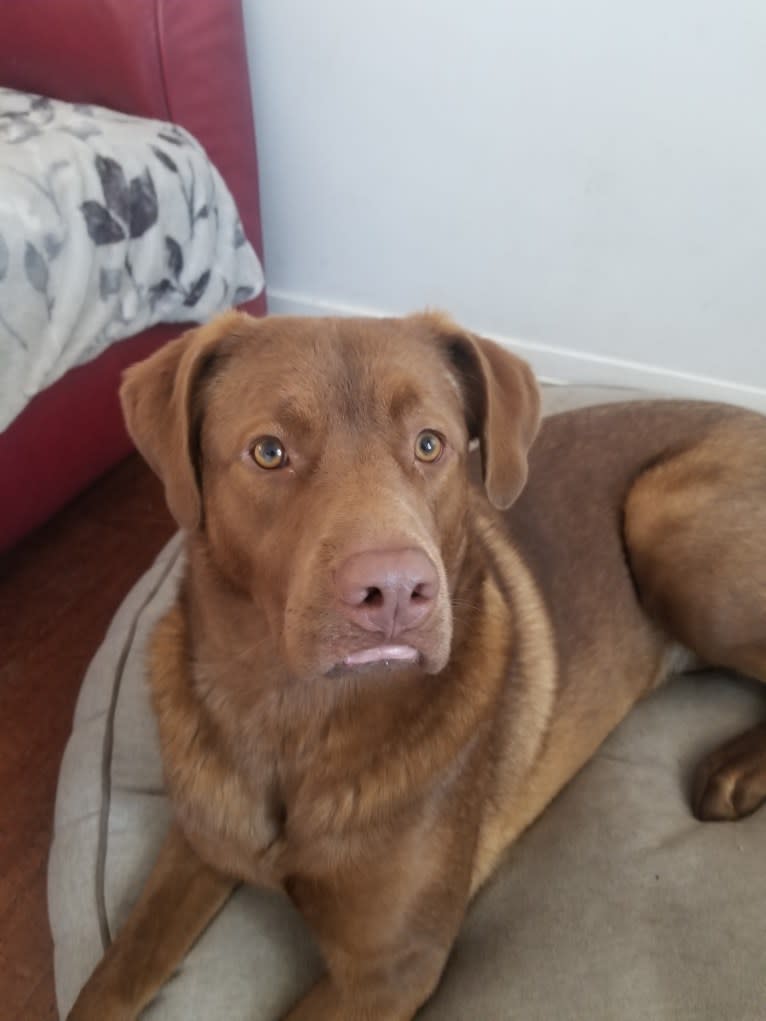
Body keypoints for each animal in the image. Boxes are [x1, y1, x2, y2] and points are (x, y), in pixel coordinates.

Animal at [68, 310, 766, 1021]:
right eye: (269, 452)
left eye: (430, 445)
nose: (398, 591)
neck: (292, 716)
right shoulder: (199, 840)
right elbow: (114, 975)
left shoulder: (391, 969)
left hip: (667, 521)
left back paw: (736, 770)